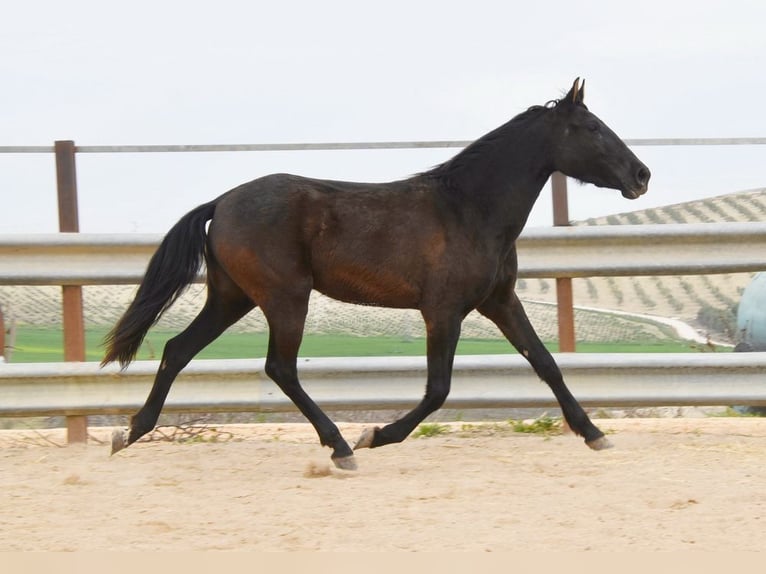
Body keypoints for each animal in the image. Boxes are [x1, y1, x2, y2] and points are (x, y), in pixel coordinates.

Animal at [103, 79, 656, 470]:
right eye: (593, 129)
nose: (642, 175)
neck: (469, 209)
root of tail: (221, 202)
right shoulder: (443, 311)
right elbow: (438, 389)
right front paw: (376, 436)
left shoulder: (499, 300)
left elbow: (546, 363)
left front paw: (595, 435)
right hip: (285, 297)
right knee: (280, 368)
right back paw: (341, 447)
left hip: (231, 297)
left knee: (178, 350)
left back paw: (129, 432)